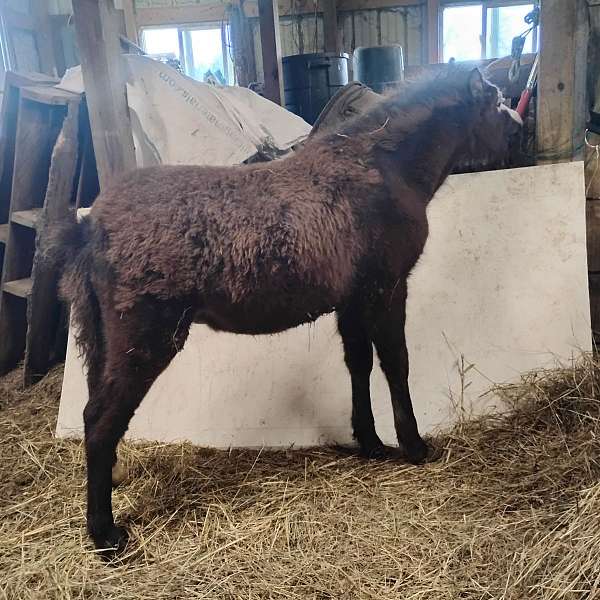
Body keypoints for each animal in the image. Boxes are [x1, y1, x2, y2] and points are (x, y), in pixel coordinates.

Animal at [45, 69, 520, 552]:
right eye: (496, 102)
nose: (516, 134)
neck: (382, 167)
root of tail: (91, 226)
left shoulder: (352, 300)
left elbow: (359, 364)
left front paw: (370, 441)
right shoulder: (386, 289)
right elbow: (395, 363)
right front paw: (414, 445)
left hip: (104, 340)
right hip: (144, 339)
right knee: (100, 418)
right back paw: (105, 534)